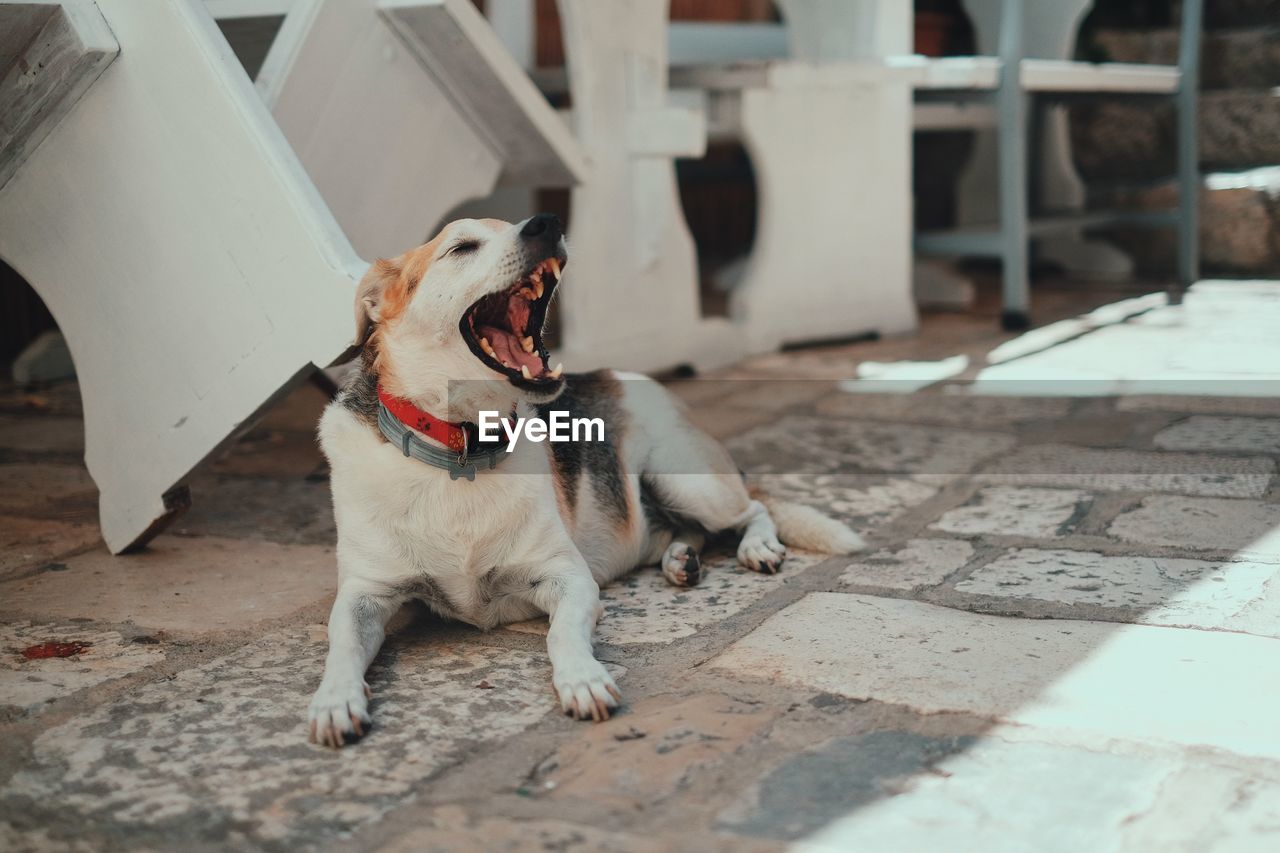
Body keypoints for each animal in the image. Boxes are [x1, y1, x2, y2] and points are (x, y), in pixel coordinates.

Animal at [305, 212, 865, 742]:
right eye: (461, 247)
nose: (546, 223)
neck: (460, 453)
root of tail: (625, 377)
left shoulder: (567, 579)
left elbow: (562, 636)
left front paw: (582, 678)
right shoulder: (364, 594)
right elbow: (341, 643)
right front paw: (334, 700)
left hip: (684, 478)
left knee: (754, 508)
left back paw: (757, 546)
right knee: (693, 528)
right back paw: (680, 559)